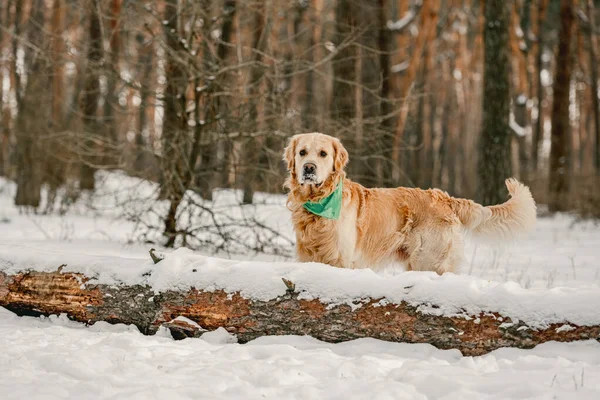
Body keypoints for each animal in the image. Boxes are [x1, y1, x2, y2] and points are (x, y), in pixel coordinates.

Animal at [284, 133, 536, 274]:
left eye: (323, 154)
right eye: (302, 152)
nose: (308, 168)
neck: (317, 203)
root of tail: (444, 197)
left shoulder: (341, 259)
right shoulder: (307, 257)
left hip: (429, 259)